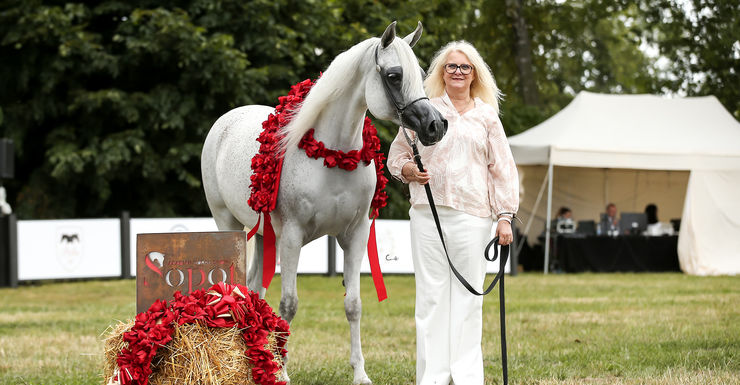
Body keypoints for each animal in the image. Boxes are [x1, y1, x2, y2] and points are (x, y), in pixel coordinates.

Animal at [199, 21, 448, 384]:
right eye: (394, 76)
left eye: (422, 73)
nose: (436, 125)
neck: (333, 156)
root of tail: (225, 122)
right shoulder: (291, 237)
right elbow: (288, 304)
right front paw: (282, 371)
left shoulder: (355, 235)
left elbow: (353, 304)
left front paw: (360, 373)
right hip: (228, 226)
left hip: (263, 234)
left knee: (254, 289)